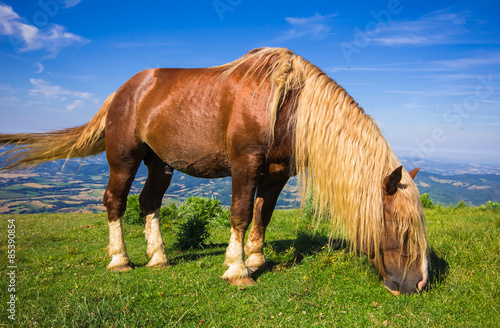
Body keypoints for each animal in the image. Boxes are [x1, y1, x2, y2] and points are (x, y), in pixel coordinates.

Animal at [0, 47, 430, 296]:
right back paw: (120, 260)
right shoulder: (245, 164)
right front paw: (238, 270)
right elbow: (240, 213)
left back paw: (158, 258)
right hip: (124, 158)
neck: (285, 103)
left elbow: (262, 214)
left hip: (160, 164)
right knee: (115, 201)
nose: (419, 284)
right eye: (401, 228)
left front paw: (255, 259)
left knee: (149, 202)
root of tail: (123, 91)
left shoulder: (276, 174)